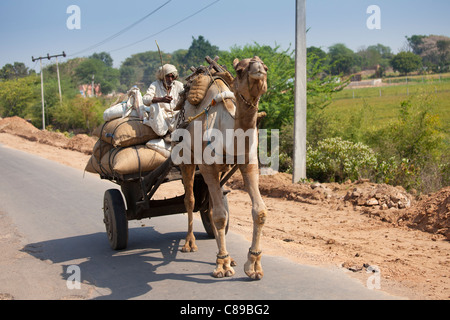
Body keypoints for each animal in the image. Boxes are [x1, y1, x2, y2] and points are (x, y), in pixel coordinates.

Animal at [175, 56, 268, 278]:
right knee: (190, 200)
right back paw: (189, 243)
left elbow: (259, 211)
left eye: (266, 66)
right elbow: (218, 215)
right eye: (240, 70)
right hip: (186, 158)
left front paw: (253, 265)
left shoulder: (248, 162)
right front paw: (222, 265)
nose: (258, 70)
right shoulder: (206, 166)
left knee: (211, 204)